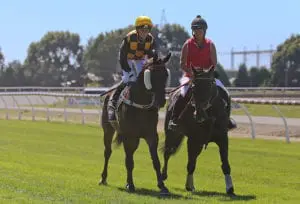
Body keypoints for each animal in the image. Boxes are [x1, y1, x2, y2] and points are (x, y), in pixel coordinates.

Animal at [99, 52, 171, 194]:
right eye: (152, 75)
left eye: (166, 74)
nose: (161, 101)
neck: (141, 103)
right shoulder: (129, 136)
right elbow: (129, 162)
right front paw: (130, 184)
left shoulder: (151, 135)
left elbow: (156, 161)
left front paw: (162, 185)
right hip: (108, 129)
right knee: (107, 152)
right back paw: (103, 178)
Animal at [162, 66, 234, 195]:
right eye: (194, 87)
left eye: (210, 85)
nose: (199, 113)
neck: (209, 116)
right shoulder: (193, 139)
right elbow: (191, 164)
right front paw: (188, 186)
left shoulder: (222, 138)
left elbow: (225, 164)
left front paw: (230, 188)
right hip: (172, 134)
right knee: (167, 152)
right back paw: (163, 176)